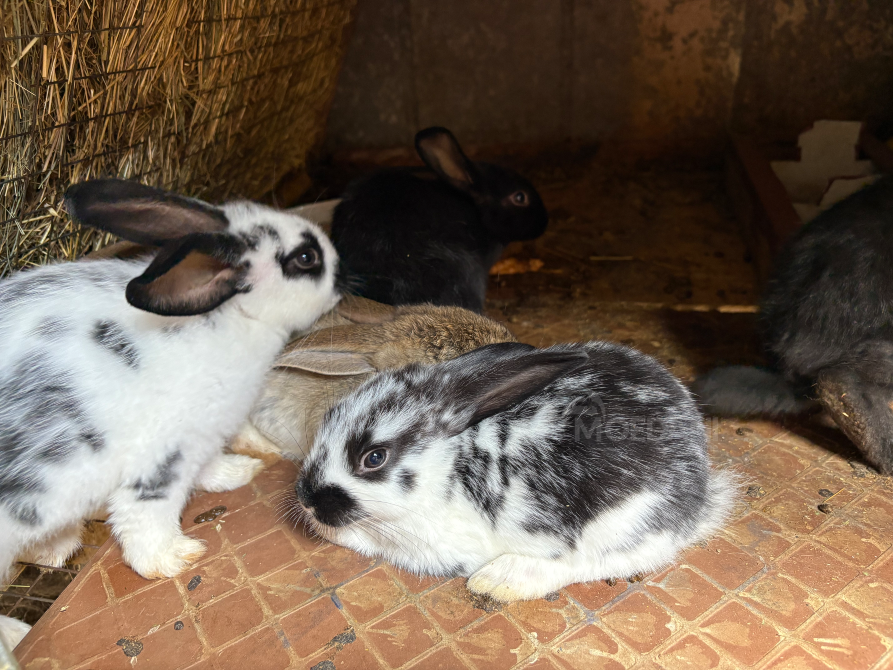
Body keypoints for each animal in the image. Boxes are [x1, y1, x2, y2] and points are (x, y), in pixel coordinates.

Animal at [0, 178, 340, 648]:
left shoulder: (204, 438)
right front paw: (172, 559)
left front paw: (239, 471)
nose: (339, 276)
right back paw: (15, 632)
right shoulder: (164, 452)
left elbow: (210, 467)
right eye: (305, 258)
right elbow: (147, 510)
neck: (231, 315)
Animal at [293, 340, 736, 602]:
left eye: (374, 458)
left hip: (621, 523)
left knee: (595, 563)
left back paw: (500, 580)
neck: (449, 465)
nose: (306, 497)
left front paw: (326, 528)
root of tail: (698, 494)